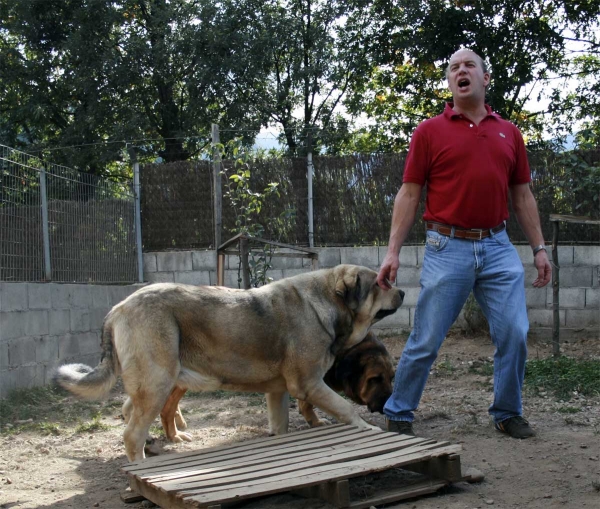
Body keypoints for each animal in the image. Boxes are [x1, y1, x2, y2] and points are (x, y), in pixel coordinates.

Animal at [56, 264, 404, 462]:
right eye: (380, 283)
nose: (401, 291)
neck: (327, 303)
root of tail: (119, 307)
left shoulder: (278, 392)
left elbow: (281, 425)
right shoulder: (308, 384)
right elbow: (344, 408)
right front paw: (364, 428)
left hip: (158, 383)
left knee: (131, 413)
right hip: (157, 383)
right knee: (132, 433)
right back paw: (144, 467)